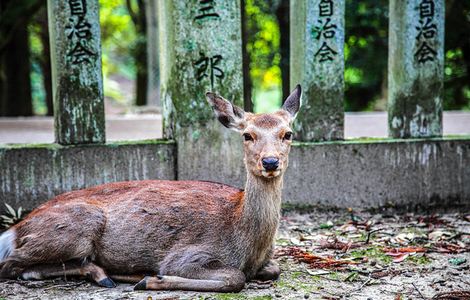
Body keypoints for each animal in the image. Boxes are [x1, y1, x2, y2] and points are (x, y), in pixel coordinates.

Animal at [0, 85, 302, 292]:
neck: (246, 243)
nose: (270, 161)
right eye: (247, 135)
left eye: (288, 133)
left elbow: (274, 269)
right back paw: (106, 274)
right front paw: (151, 280)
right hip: (76, 228)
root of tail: (14, 230)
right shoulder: (185, 256)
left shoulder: (267, 261)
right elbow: (235, 277)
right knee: (11, 265)